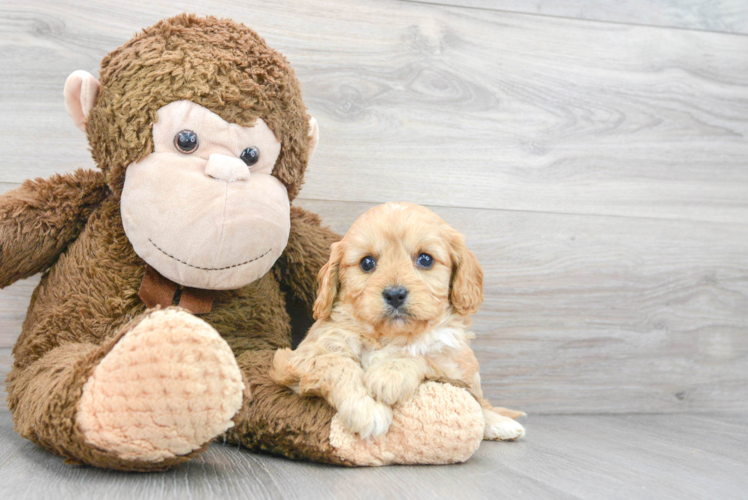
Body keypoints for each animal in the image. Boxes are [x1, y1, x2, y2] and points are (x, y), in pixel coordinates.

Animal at [270, 201, 524, 440]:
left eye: (425, 259)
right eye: (367, 263)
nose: (394, 295)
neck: (389, 336)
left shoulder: (452, 361)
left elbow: (426, 354)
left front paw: (390, 374)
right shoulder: (294, 359)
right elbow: (334, 362)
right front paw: (367, 409)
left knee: (481, 401)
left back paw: (500, 423)